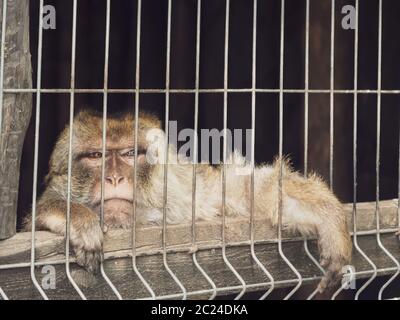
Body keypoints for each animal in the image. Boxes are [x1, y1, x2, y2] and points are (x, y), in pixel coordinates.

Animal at [23, 109, 352, 292]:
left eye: (130, 154)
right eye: (95, 156)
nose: (114, 178)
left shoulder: (190, 197)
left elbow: (241, 192)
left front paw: (326, 215)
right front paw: (71, 214)